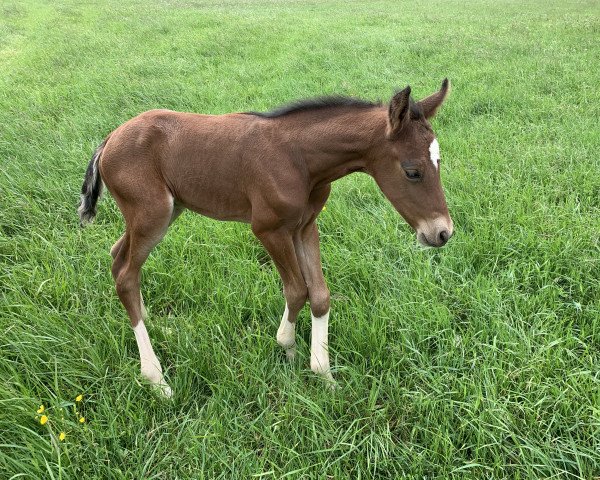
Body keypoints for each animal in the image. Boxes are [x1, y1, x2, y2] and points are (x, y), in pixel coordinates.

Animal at [79, 79, 454, 396]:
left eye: (439, 162)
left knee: (118, 256)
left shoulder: (305, 227)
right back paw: (156, 379)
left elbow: (320, 295)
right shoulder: (268, 229)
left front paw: (323, 374)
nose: (442, 232)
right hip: (152, 215)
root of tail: (109, 140)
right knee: (125, 275)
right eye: (412, 171)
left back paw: (157, 326)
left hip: (165, 212)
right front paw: (287, 346)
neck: (300, 158)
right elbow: (297, 290)